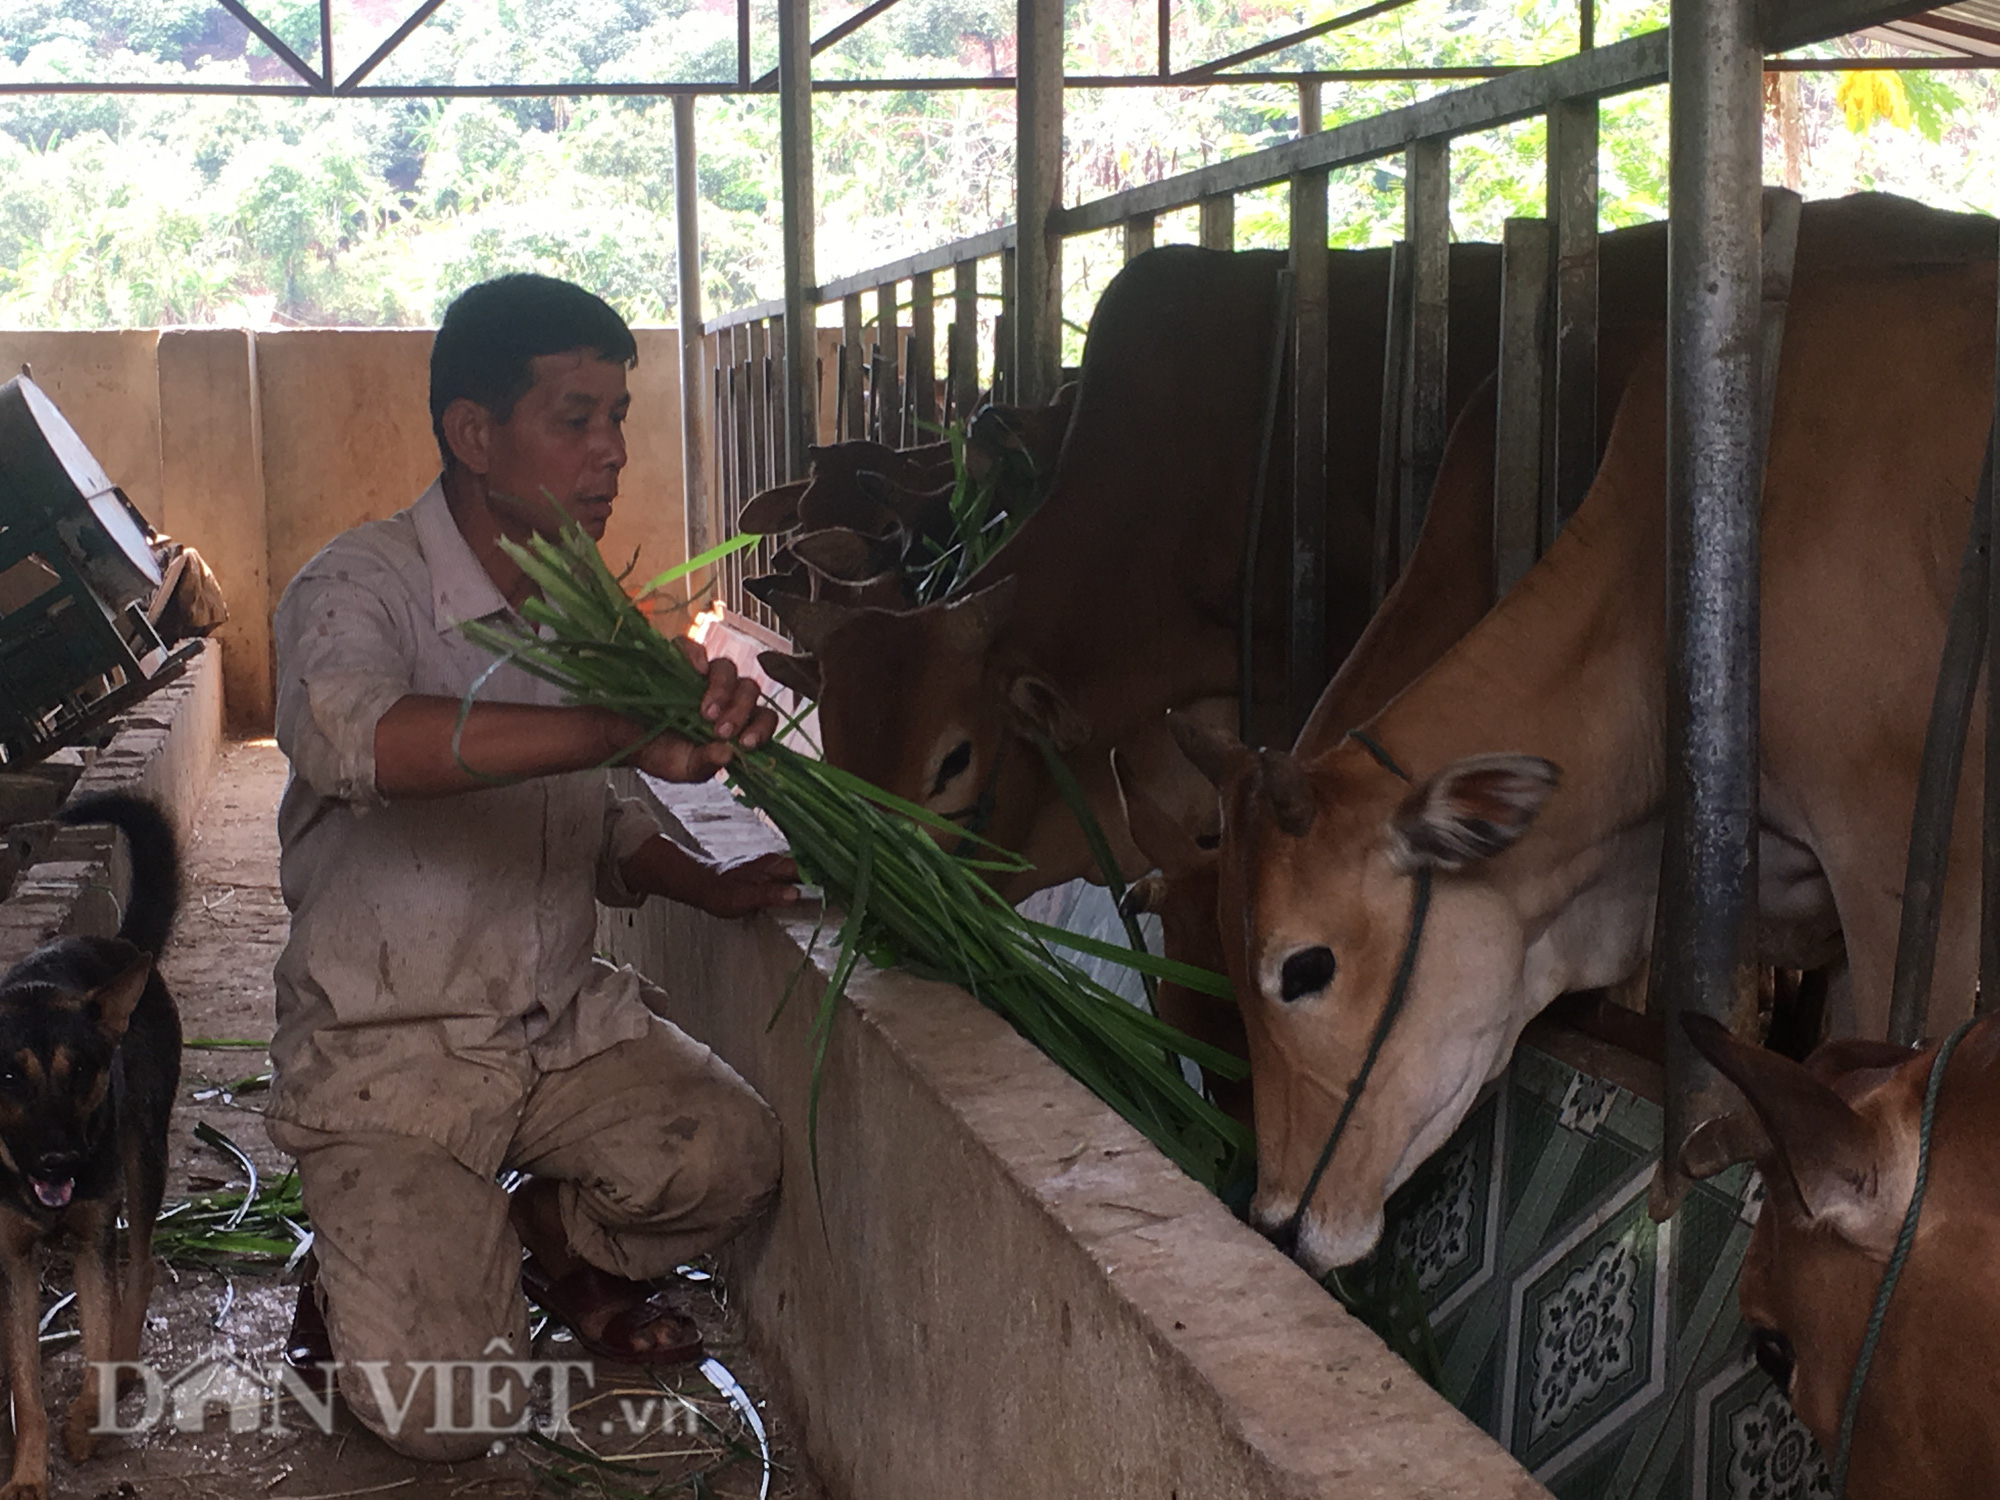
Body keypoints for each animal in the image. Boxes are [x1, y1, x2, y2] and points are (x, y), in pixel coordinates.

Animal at [0, 792, 182, 1496]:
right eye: (9, 1076)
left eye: (81, 1072)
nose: (60, 1163)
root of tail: (123, 944)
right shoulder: (15, 1260)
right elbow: (24, 1380)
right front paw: (28, 1469)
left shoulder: (90, 1240)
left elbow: (99, 1337)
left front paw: (87, 1419)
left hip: (143, 1151)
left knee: (143, 1266)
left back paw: (125, 1374)